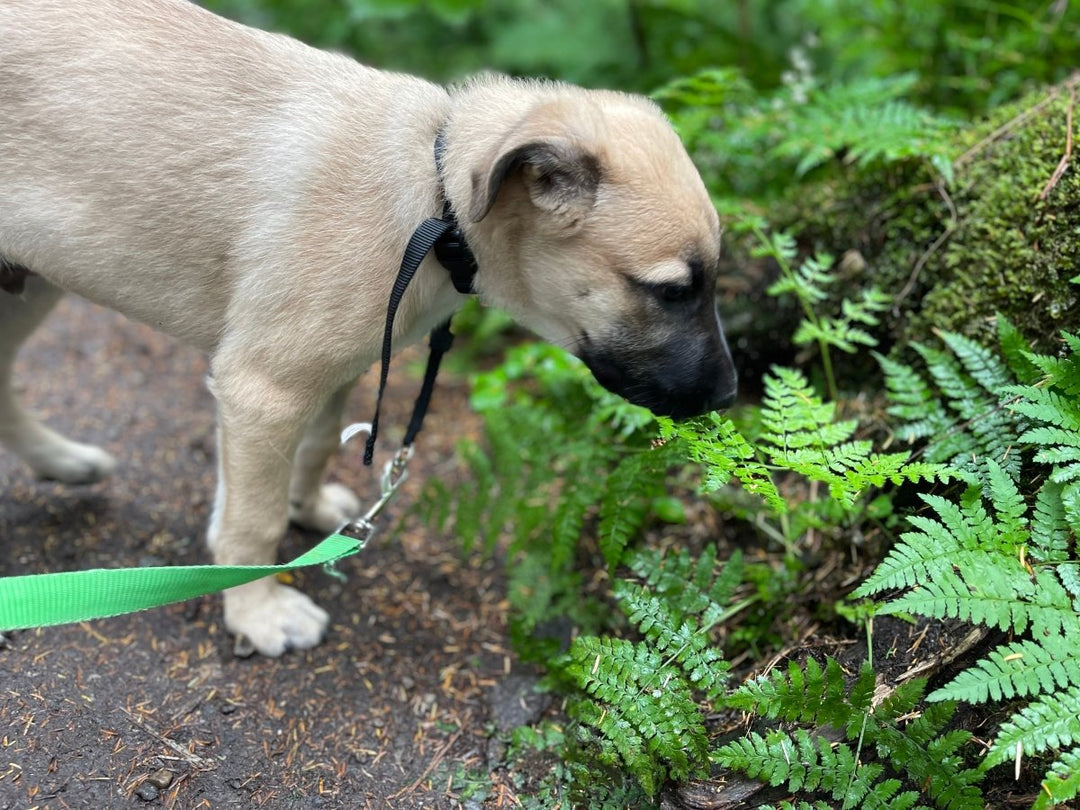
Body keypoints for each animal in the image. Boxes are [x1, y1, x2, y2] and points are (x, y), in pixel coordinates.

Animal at [0, 0, 738, 656]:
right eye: (671, 291)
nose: (730, 394)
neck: (435, 198)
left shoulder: (331, 372)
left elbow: (316, 447)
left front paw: (305, 508)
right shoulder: (263, 390)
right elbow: (253, 519)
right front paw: (256, 609)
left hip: (30, 284)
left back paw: (62, 461)